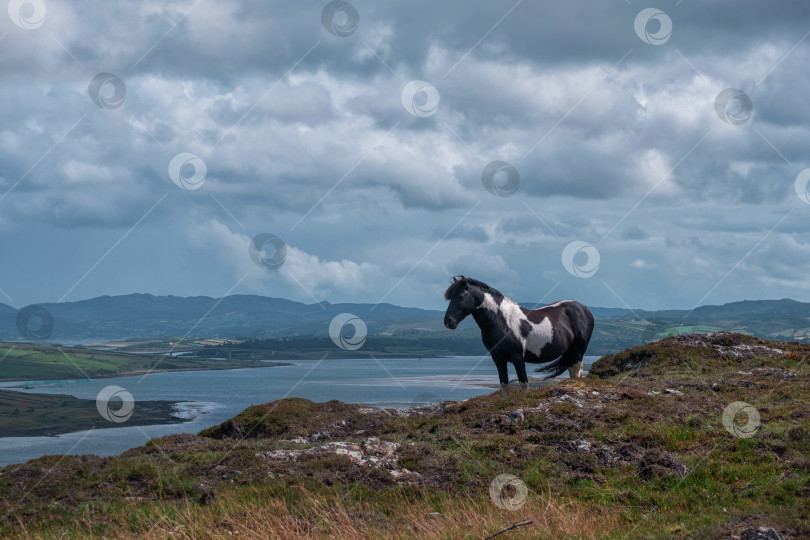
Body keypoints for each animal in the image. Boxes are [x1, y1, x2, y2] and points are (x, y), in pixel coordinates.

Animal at [442, 278, 592, 396]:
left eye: (461, 296)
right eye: (450, 298)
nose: (448, 321)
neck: (502, 321)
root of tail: (584, 309)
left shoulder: (518, 357)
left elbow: (524, 383)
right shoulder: (498, 358)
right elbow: (504, 384)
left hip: (578, 352)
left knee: (577, 373)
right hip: (571, 352)